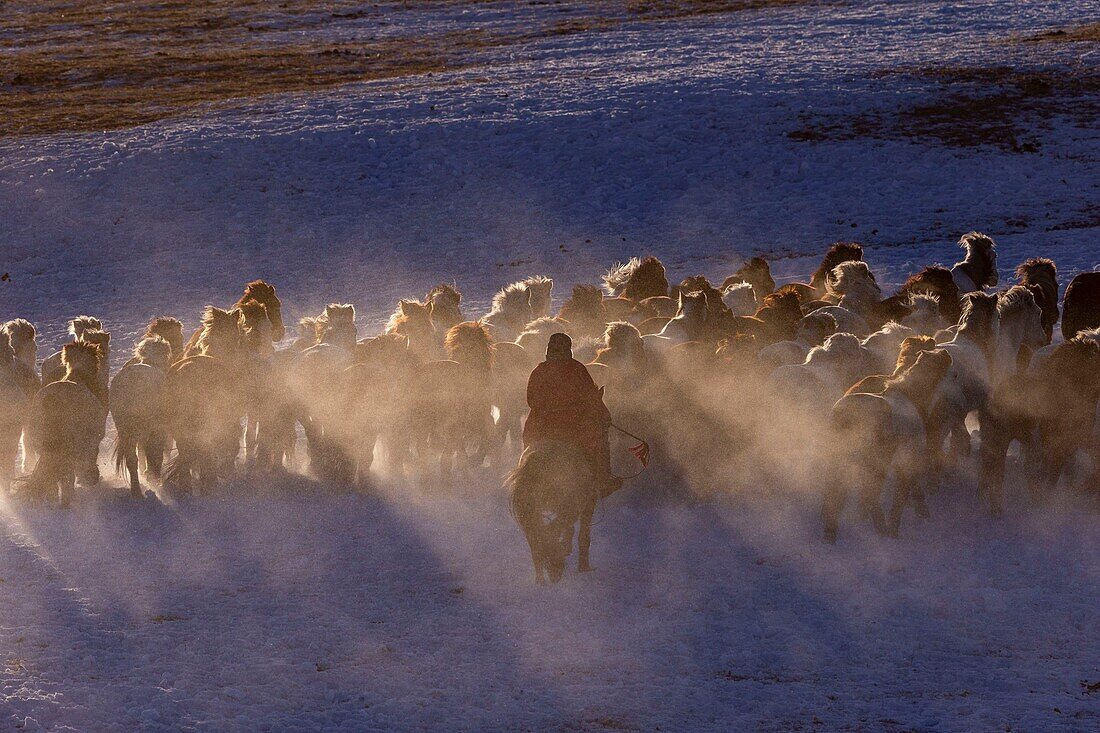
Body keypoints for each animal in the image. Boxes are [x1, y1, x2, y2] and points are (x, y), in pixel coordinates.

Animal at [20, 341, 106, 501]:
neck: (78, 375)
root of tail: (53, 400)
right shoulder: (91, 444)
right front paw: (90, 478)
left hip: (46, 449)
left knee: (53, 481)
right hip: (69, 451)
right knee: (67, 480)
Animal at [110, 336, 171, 497]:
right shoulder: (159, 427)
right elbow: (156, 452)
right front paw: (153, 474)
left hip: (126, 429)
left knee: (132, 459)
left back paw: (136, 491)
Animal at [508, 440, 602, 581]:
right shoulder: (588, 501)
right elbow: (583, 536)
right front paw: (583, 567)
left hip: (534, 510)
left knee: (538, 535)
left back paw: (542, 578)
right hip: (571, 503)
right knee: (550, 531)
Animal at [827, 347, 954, 541]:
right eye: (937, 359)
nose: (945, 351)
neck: (910, 395)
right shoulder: (908, 461)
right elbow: (900, 499)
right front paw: (895, 529)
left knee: (835, 494)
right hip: (875, 463)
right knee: (870, 494)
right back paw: (881, 528)